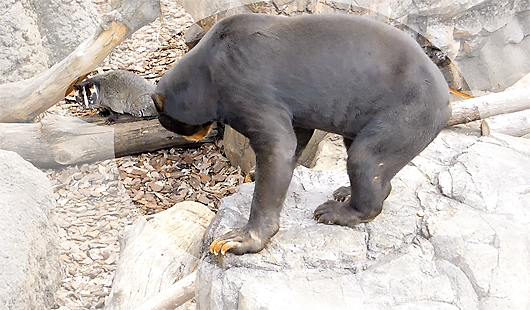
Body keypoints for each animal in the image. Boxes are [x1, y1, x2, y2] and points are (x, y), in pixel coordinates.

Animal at [152, 13, 450, 256]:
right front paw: (254, 174)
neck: (207, 72)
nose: (195, 136)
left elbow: (277, 145)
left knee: (365, 158)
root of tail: (447, 98)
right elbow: (297, 136)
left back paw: (334, 211)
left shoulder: (245, 88)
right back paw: (345, 191)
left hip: (407, 114)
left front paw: (236, 240)